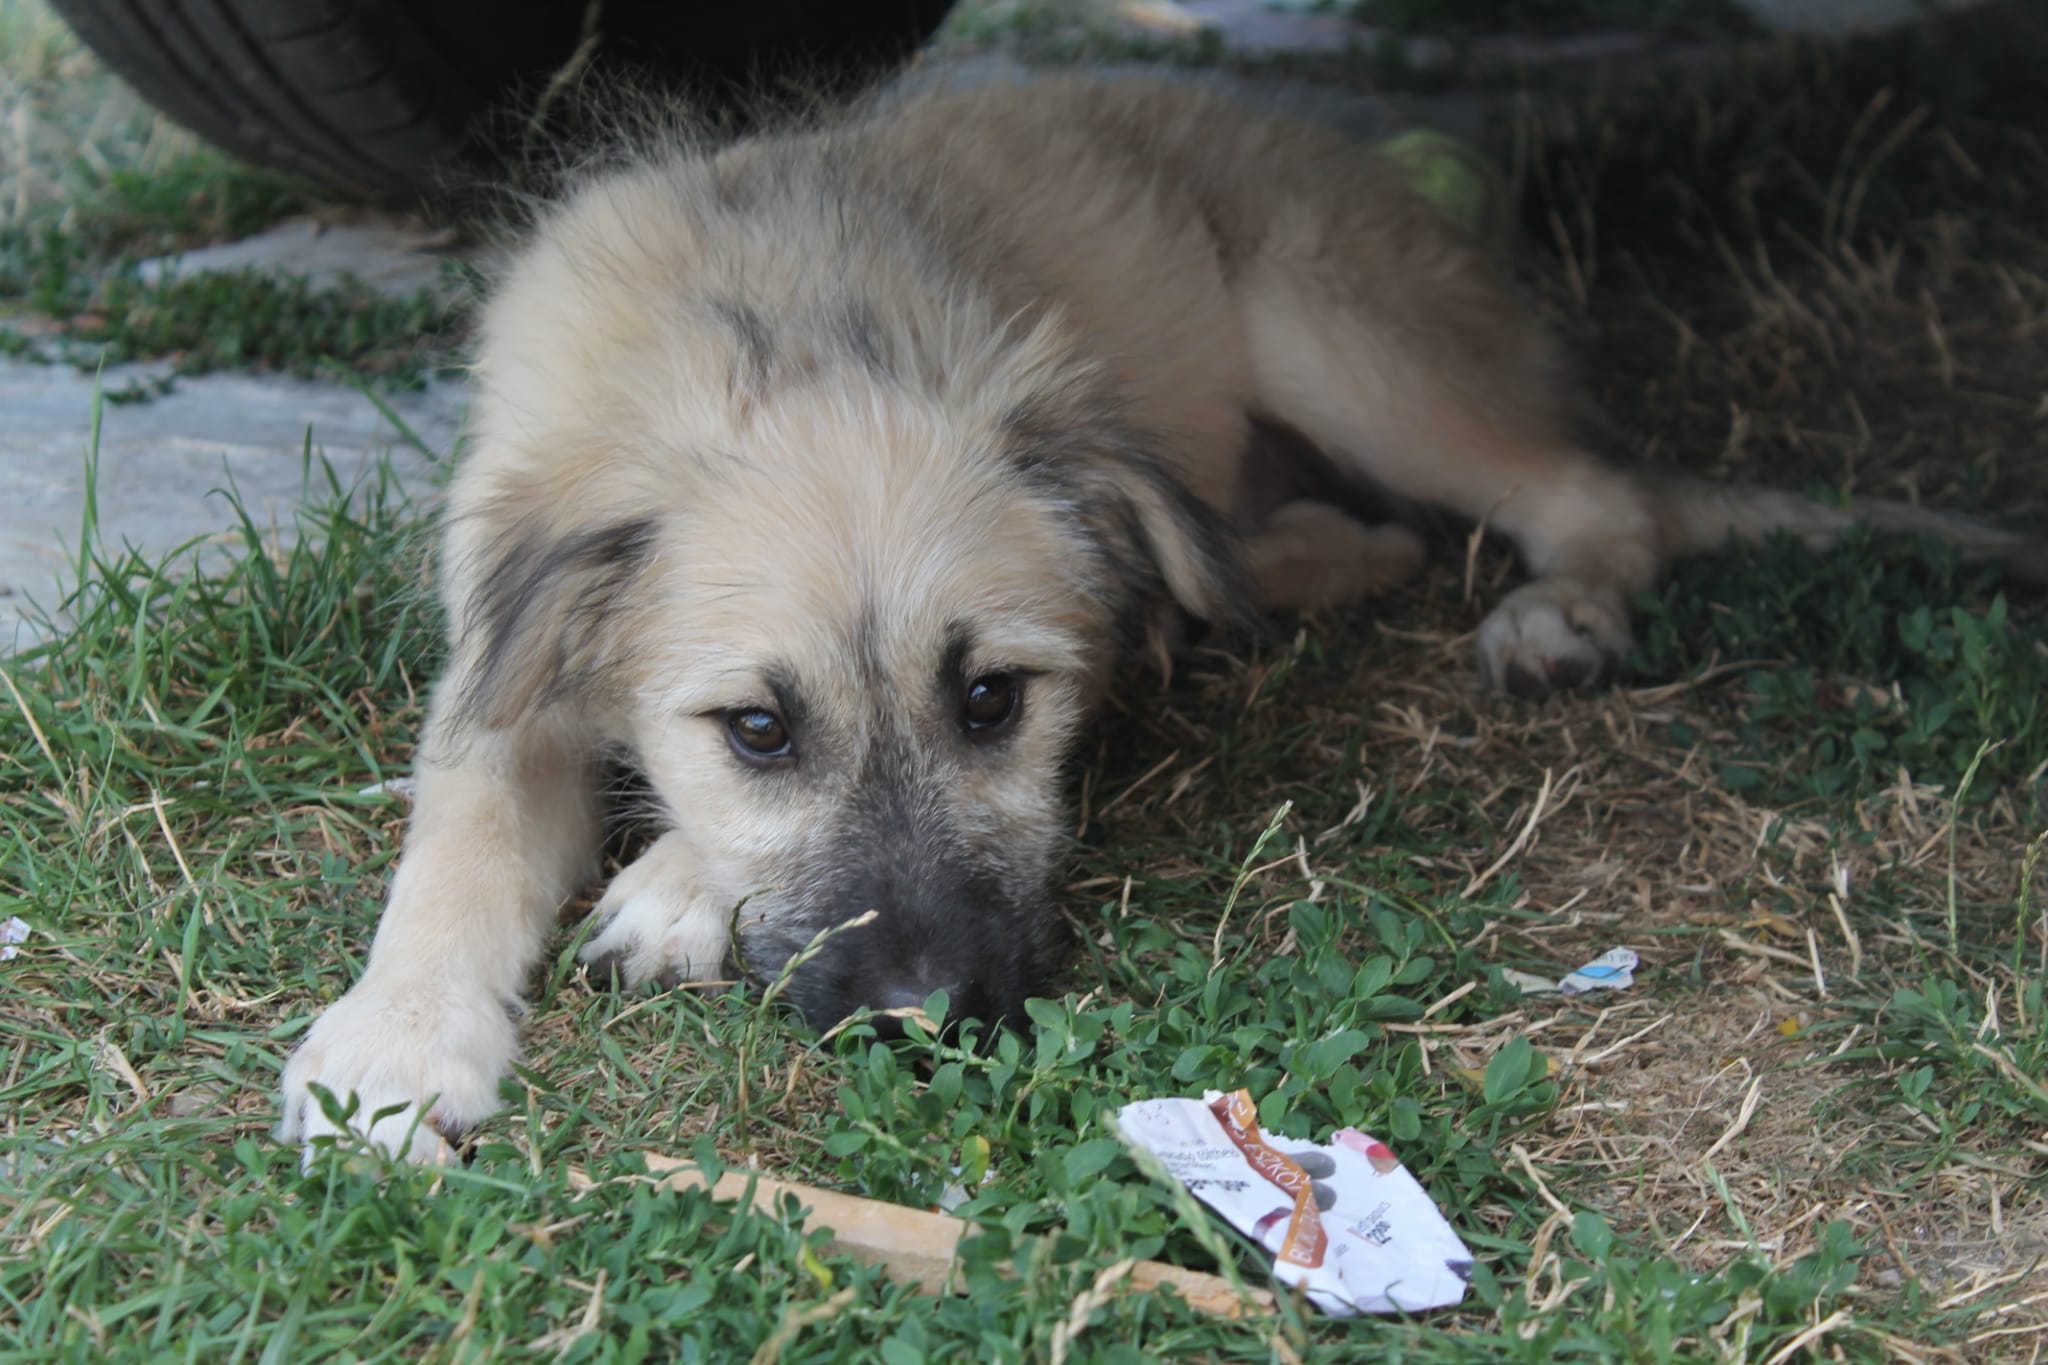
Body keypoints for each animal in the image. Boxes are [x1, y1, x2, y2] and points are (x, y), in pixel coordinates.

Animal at [277, 69, 2043, 1163]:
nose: (930, 1023)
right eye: (759, 728)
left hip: (1344, 336)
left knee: (1589, 497)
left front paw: (667, 887)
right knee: (1342, 540)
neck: (779, 336)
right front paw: (394, 1047)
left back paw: (1559, 612)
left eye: (994, 700)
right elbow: (461, 839)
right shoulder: (499, 667)